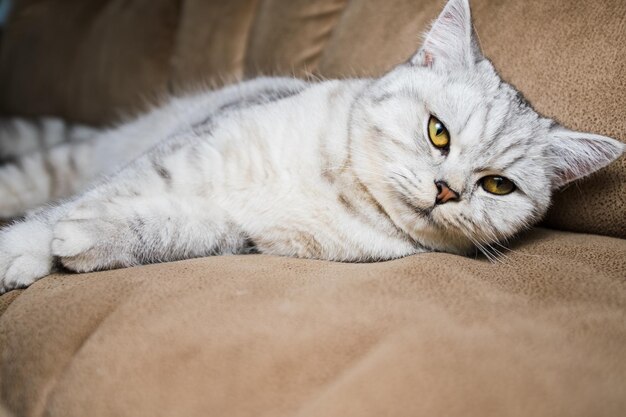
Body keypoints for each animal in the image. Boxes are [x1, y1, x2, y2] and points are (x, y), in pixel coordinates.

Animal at [0, 0, 620, 292]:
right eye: (437, 132)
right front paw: (23, 248)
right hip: (82, 155)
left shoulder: (237, 234)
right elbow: (73, 206)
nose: (446, 191)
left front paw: (84, 240)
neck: (332, 188)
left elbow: (163, 228)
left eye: (497, 185)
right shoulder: (182, 157)